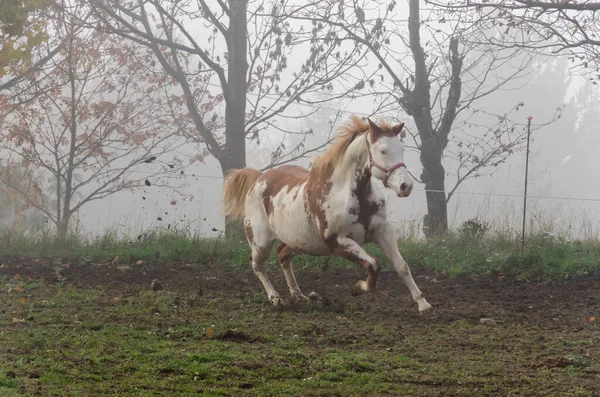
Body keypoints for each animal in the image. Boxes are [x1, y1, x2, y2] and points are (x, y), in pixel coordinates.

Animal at [220, 114, 432, 312]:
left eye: (402, 149)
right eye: (383, 150)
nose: (405, 186)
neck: (348, 194)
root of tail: (258, 178)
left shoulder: (382, 231)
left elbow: (401, 266)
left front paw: (423, 304)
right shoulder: (337, 240)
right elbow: (373, 264)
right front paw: (357, 288)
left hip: (300, 241)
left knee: (282, 255)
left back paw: (299, 296)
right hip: (260, 242)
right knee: (257, 265)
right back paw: (276, 299)